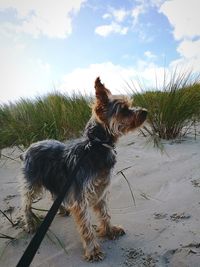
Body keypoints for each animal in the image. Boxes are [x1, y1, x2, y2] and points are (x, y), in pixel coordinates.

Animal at [19, 77, 147, 262]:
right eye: (123, 109)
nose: (145, 112)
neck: (96, 146)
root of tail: (28, 149)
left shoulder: (100, 190)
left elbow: (105, 213)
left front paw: (109, 231)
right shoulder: (80, 197)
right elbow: (86, 226)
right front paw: (93, 250)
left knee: (54, 194)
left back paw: (62, 209)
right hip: (32, 181)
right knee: (26, 202)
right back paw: (29, 224)